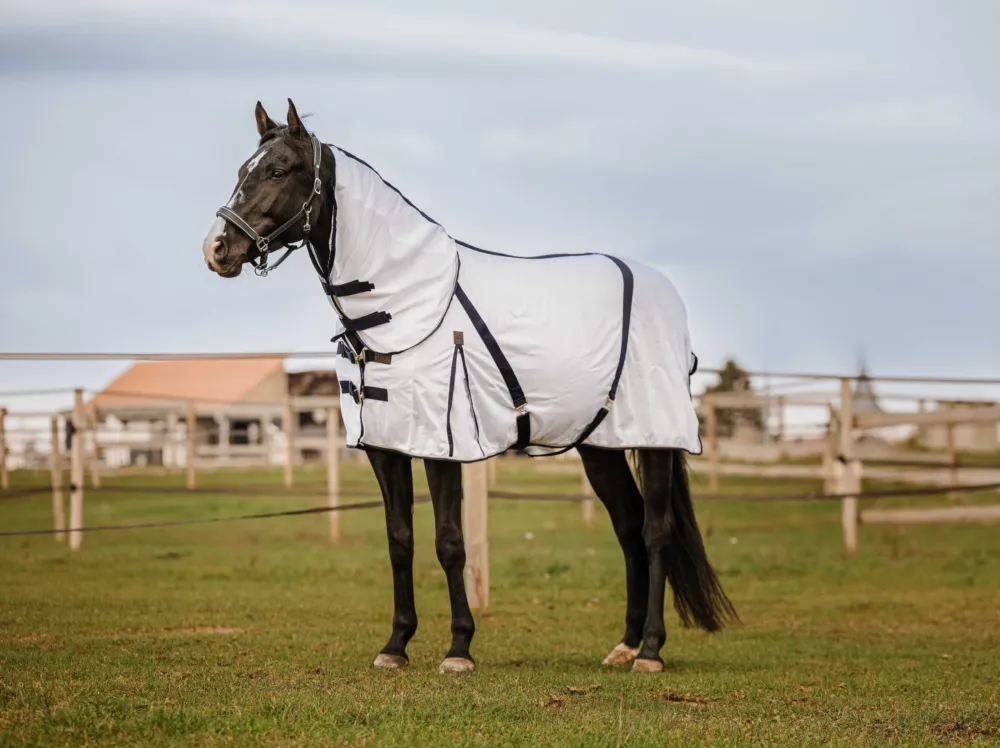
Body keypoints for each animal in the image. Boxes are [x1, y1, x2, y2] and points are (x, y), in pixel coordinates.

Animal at [202, 99, 737, 674]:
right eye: (242, 171)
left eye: (278, 171)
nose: (217, 249)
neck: (406, 307)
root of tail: (663, 290)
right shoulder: (387, 447)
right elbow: (400, 540)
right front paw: (396, 645)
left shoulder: (443, 445)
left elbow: (449, 542)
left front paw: (459, 648)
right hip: (600, 447)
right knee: (628, 529)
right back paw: (626, 644)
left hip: (656, 440)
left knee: (655, 532)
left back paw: (651, 651)